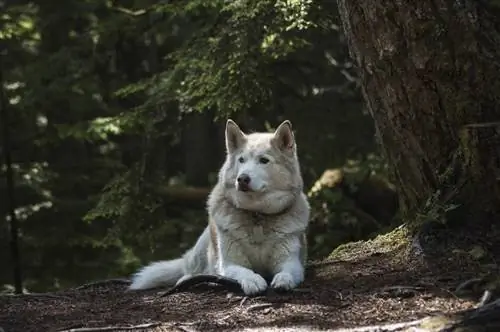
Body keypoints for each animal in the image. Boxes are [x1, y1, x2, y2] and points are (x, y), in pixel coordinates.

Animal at [129, 119, 308, 296]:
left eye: (264, 160)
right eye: (241, 160)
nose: (242, 179)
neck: (256, 214)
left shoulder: (291, 262)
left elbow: (287, 272)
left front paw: (283, 280)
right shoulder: (228, 264)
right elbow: (245, 271)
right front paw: (253, 281)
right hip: (202, 247)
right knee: (191, 270)